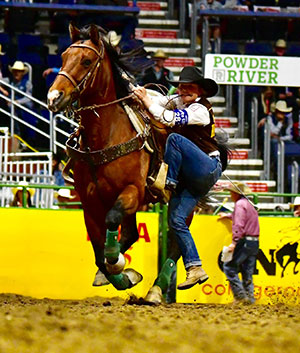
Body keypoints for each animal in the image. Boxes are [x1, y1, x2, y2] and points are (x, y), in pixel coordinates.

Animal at [47, 24, 158, 288]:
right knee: (130, 232)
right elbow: (99, 252)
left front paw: (118, 265)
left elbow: (112, 221)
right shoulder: (89, 203)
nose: (54, 97)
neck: (106, 137)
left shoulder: (133, 192)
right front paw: (117, 273)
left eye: (86, 61)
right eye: (63, 57)